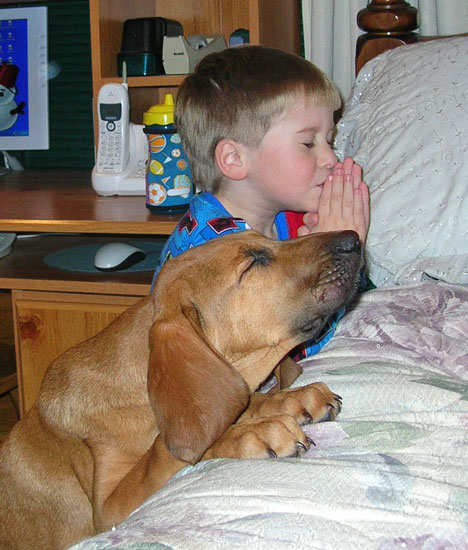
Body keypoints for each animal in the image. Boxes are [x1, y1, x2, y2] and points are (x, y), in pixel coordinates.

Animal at [0, 231, 362, 548]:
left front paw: (294, 398)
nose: (355, 239)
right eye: (252, 263)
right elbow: (170, 449)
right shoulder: (107, 509)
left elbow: (242, 399)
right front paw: (255, 432)